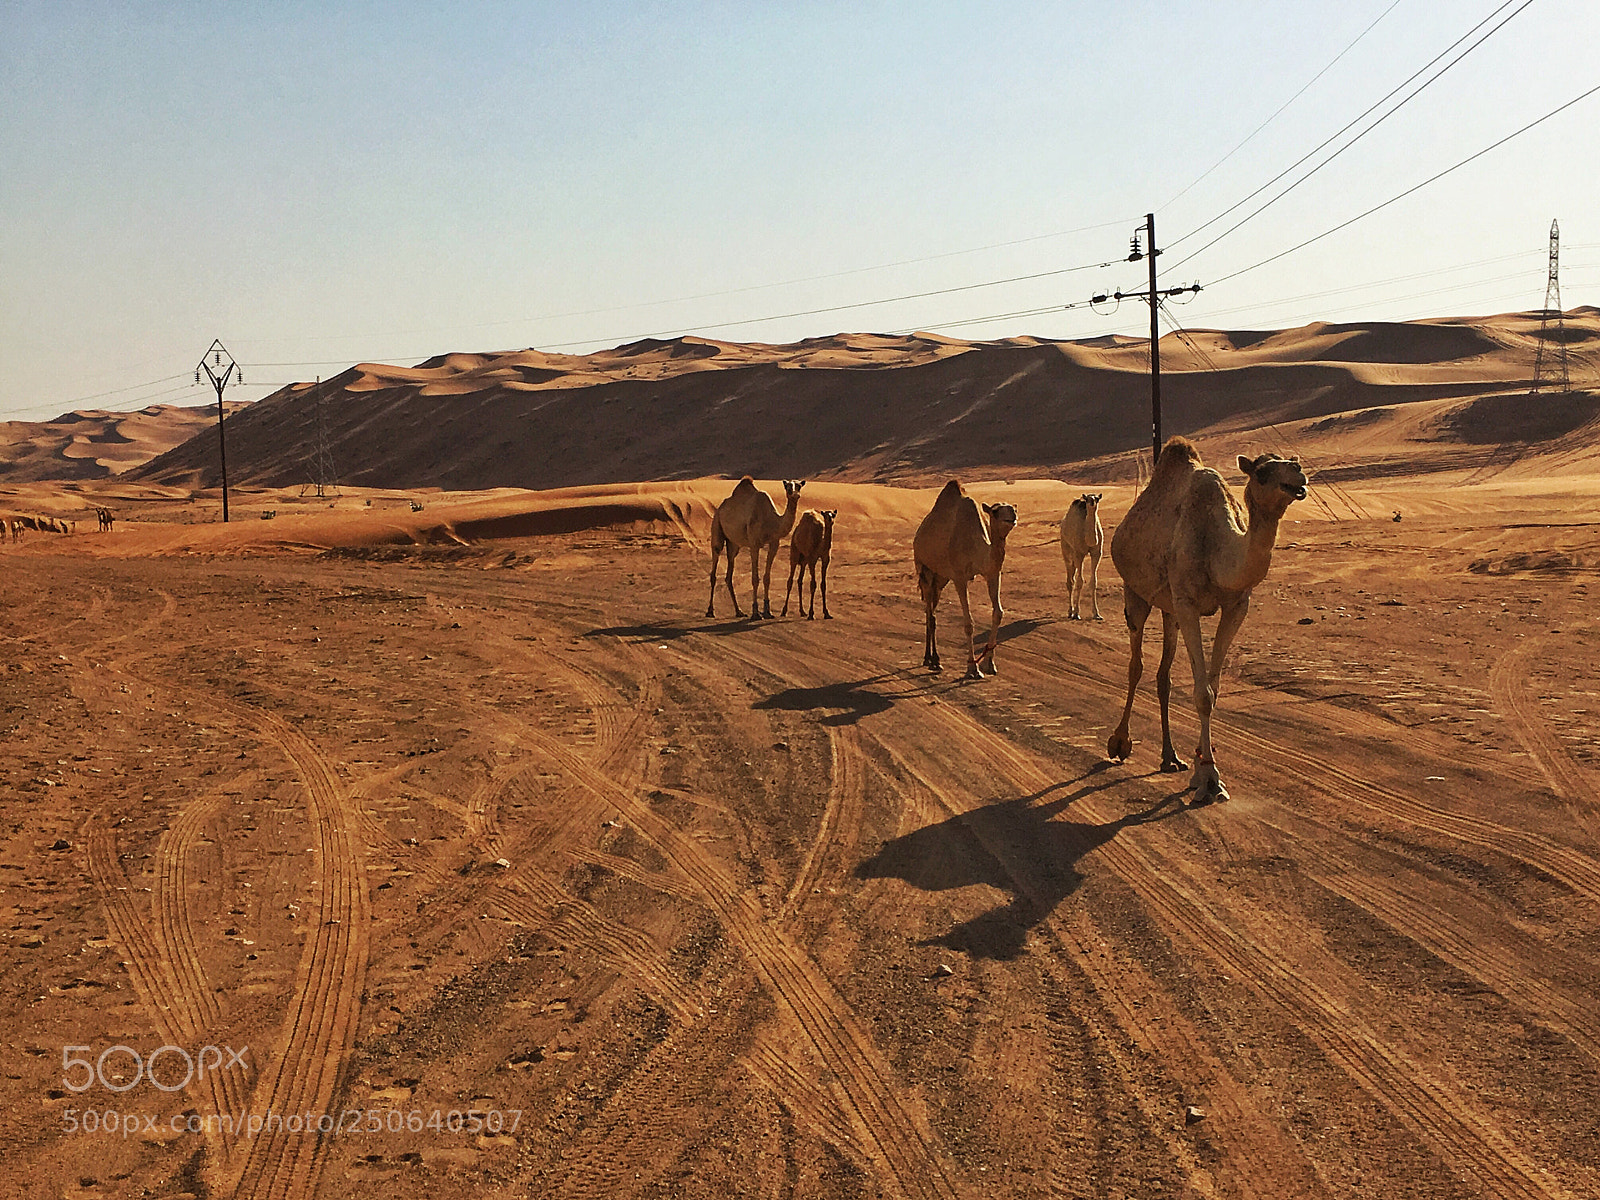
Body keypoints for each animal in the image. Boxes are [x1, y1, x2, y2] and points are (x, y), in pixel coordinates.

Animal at [706, 478, 805, 619]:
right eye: (787, 486)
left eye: (799, 486)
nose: (794, 494)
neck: (771, 521)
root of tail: (720, 508)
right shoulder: (754, 544)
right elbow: (754, 578)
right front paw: (755, 613)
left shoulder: (774, 543)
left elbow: (767, 578)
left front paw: (767, 612)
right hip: (716, 525)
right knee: (715, 562)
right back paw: (710, 611)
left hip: (733, 544)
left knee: (729, 573)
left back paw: (739, 611)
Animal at [913, 480, 1017, 679]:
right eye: (995, 511)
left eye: (1013, 508)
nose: (1013, 516)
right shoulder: (959, 577)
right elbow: (968, 623)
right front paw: (972, 668)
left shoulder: (992, 573)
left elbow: (998, 613)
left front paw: (988, 664)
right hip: (924, 569)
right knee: (930, 613)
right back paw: (931, 659)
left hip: (941, 578)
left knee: (932, 610)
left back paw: (934, 660)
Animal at [1059, 492, 1104, 621]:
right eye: (1087, 498)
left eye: (1097, 498)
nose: (1092, 502)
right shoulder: (1079, 553)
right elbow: (1079, 581)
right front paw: (1077, 613)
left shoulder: (1097, 553)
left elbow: (1093, 582)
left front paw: (1096, 614)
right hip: (1066, 547)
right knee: (1070, 581)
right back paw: (1070, 611)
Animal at [1106, 437, 1307, 804]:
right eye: (1262, 472)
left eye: (1292, 461)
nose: (1298, 474)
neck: (1217, 549)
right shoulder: (1187, 604)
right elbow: (1201, 694)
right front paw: (1208, 780)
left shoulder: (1236, 606)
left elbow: (1213, 690)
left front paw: (1205, 770)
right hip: (1136, 593)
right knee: (1135, 666)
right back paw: (1119, 743)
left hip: (1168, 608)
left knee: (1163, 676)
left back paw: (1170, 757)